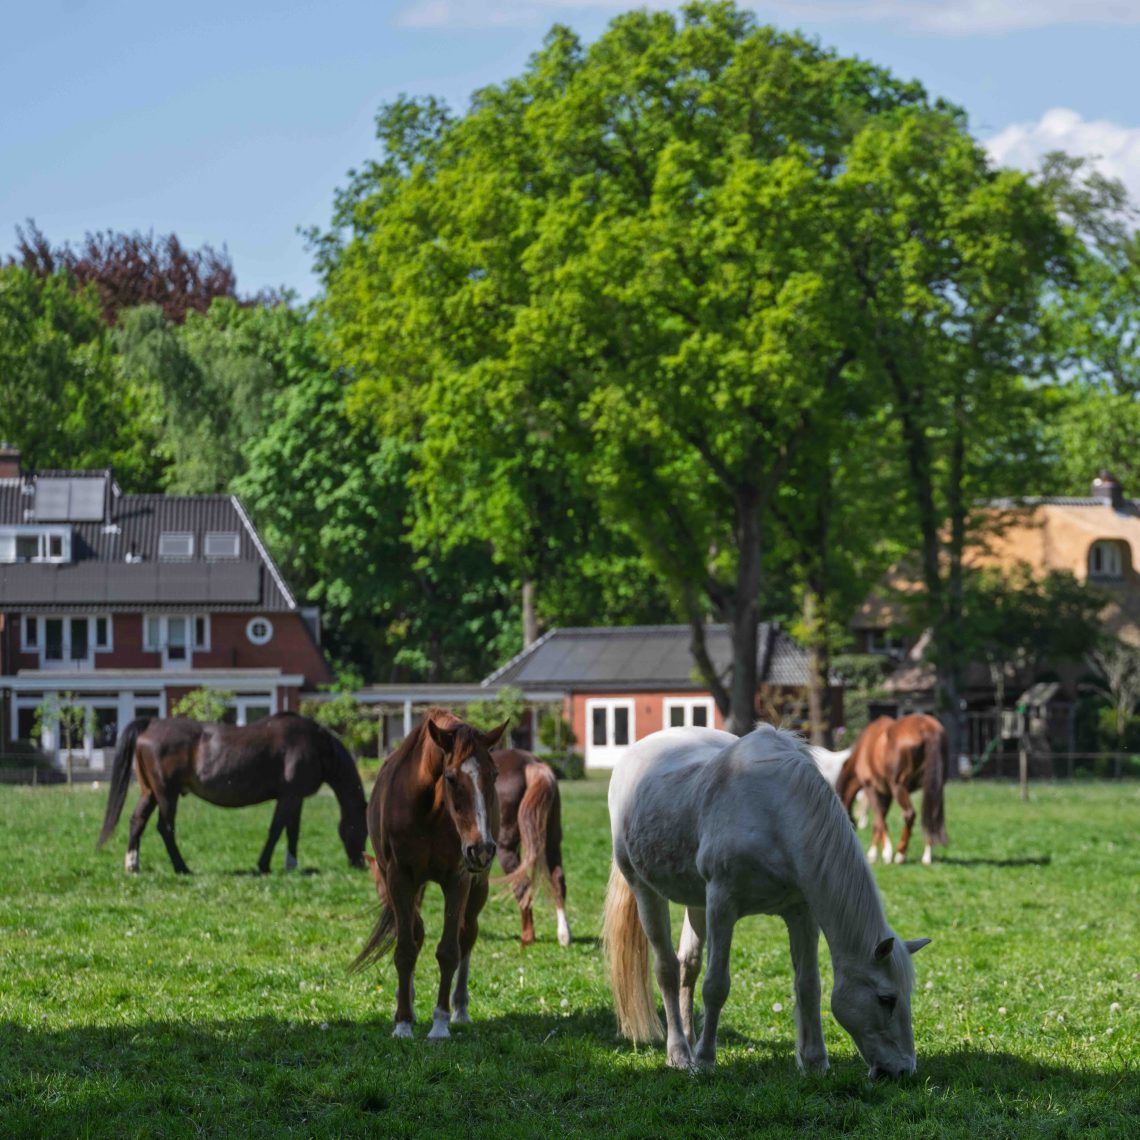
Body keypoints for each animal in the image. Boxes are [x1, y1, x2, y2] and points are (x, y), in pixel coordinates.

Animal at [96, 712, 368, 875]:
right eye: (362, 829)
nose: (360, 863)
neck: (317, 746)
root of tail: (152, 723)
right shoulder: (289, 796)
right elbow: (277, 829)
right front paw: (264, 864)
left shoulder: (296, 798)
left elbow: (293, 831)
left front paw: (291, 864)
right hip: (166, 793)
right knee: (165, 828)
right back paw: (182, 867)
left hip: (150, 791)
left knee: (137, 821)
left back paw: (133, 865)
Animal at [354, 709, 507, 1040]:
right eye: (451, 778)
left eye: (494, 775)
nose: (482, 848)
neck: (430, 811)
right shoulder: (399, 878)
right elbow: (406, 948)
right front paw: (402, 1022)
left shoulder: (458, 878)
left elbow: (449, 950)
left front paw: (440, 1023)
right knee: (416, 931)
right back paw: (408, 1004)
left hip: (478, 886)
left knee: (467, 934)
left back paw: (459, 1008)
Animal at [492, 748, 571, 948]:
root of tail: (530, 764)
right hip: (552, 841)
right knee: (558, 878)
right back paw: (564, 935)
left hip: (506, 849)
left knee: (522, 887)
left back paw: (527, 937)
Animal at [603, 725, 931, 1076]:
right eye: (886, 999)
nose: (903, 1070)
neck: (776, 814)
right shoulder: (722, 903)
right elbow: (716, 985)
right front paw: (705, 1061)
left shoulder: (801, 912)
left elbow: (809, 985)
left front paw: (815, 1061)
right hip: (644, 889)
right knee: (667, 968)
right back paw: (679, 1053)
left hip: (696, 901)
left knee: (688, 966)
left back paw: (689, 1040)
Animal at [836, 714, 949, 866]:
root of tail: (926, 727)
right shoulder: (886, 794)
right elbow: (879, 821)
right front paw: (873, 853)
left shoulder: (871, 788)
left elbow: (879, 820)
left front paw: (885, 853)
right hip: (933, 786)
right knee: (931, 815)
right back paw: (927, 855)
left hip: (898, 786)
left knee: (909, 814)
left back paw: (900, 854)